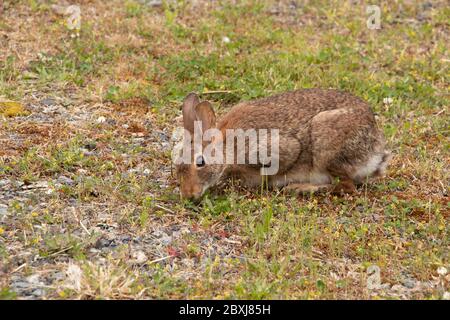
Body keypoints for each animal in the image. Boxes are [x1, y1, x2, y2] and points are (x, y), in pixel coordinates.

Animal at [174, 89, 392, 200]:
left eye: (200, 162)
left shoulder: (275, 150)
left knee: (346, 186)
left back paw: (300, 188)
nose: (188, 195)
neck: (227, 148)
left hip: (327, 147)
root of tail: (376, 153)